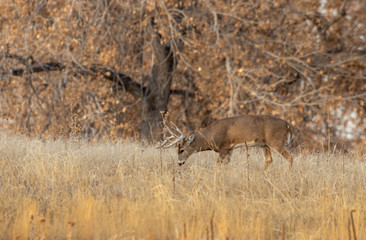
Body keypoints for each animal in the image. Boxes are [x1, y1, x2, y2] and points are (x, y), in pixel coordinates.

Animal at [159, 115, 296, 172]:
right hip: (264, 144)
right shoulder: (230, 149)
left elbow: (218, 165)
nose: (179, 162)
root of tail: (288, 125)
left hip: (276, 141)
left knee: (290, 157)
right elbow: (226, 165)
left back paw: (287, 175)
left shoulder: (223, 146)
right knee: (268, 159)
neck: (210, 136)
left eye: (182, 150)